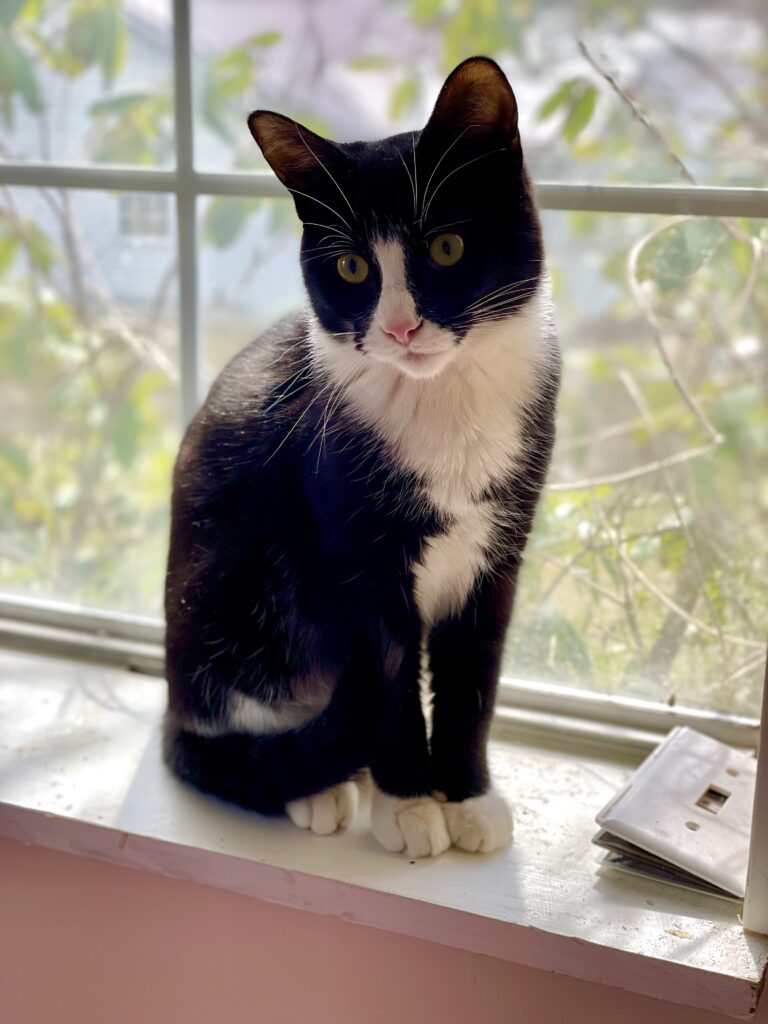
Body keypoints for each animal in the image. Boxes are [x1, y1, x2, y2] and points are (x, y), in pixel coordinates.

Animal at [163, 54, 561, 856]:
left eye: (446, 247)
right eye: (350, 268)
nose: (401, 328)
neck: (443, 399)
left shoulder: (501, 549)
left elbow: (473, 676)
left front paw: (467, 795)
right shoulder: (354, 556)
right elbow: (393, 682)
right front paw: (410, 801)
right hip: (232, 592)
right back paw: (322, 785)